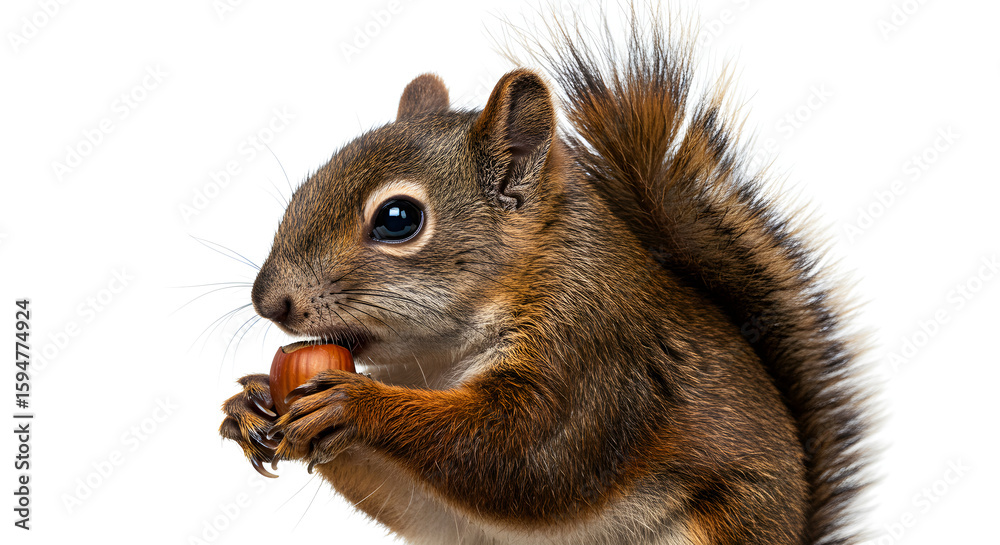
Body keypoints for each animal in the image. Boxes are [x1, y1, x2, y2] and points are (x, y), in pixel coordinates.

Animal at [219, 7, 870, 545]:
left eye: (398, 219)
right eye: (302, 191)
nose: (268, 302)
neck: (437, 360)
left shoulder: (593, 363)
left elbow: (523, 457)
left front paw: (355, 406)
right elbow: (418, 502)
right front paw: (251, 401)